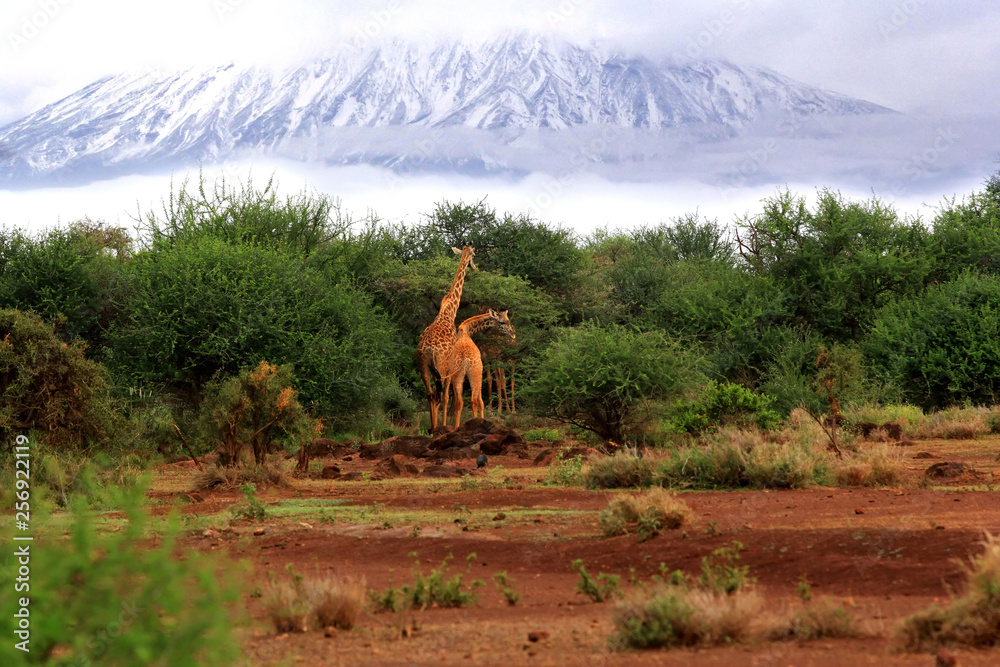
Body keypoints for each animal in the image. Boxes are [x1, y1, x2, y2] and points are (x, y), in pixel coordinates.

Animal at [414, 245, 476, 434]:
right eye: (474, 254)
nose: (475, 267)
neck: (449, 311)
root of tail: (428, 350)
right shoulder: (450, 366)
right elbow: (447, 396)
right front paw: (445, 425)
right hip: (440, 367)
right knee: (438, 395)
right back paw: (435, 429)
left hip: (423, 366)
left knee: (430, 394)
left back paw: (431, 428)